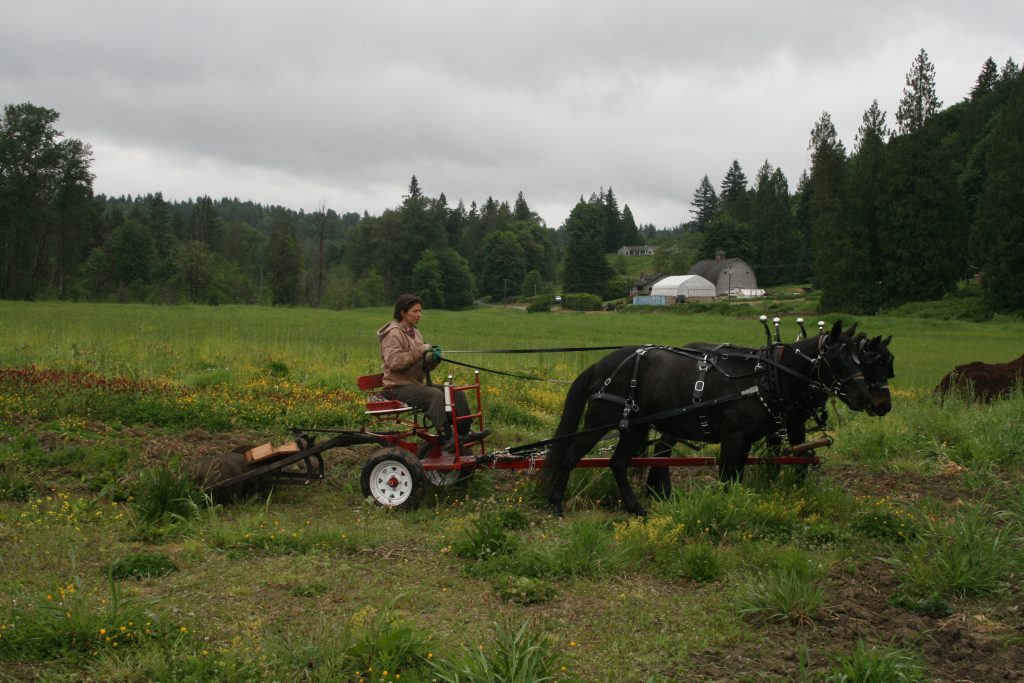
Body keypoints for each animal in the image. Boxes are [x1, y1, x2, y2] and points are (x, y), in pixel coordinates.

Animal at [544, 323, 888, 516]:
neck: (766, 376)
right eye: (836, 358)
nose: (867, 399)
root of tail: (602, 364)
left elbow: (737, 477)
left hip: (636, 427)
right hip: (601, 421)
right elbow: (725, 478)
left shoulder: (749, 440)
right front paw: (722, 510)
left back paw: (636, 508)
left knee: (618, 463)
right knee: (571, 455)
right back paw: (557, 503)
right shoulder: (733, 438)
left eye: (859, 359)